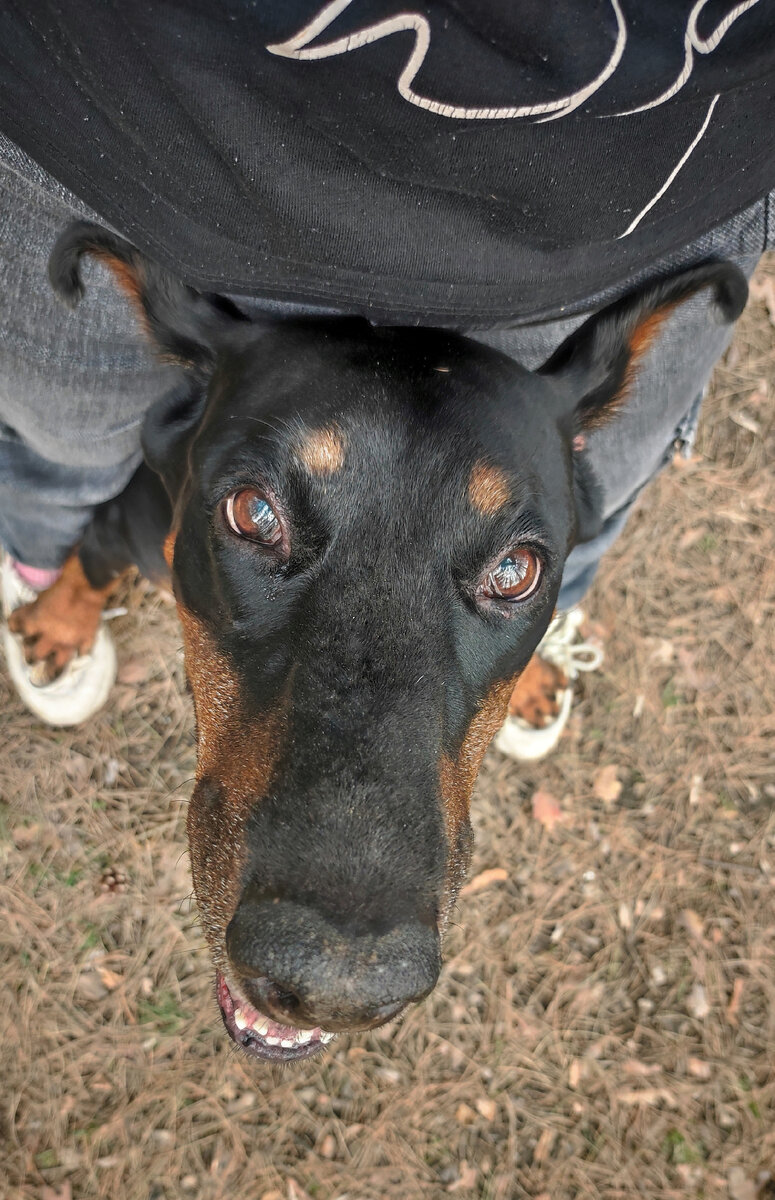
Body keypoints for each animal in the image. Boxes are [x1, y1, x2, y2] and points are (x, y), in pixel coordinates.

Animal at [4, 223, 748, 1060]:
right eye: (253, 513)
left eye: (516, 570)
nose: (337, 984)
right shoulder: (129, 520)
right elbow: (89, 558)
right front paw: (58, 623)